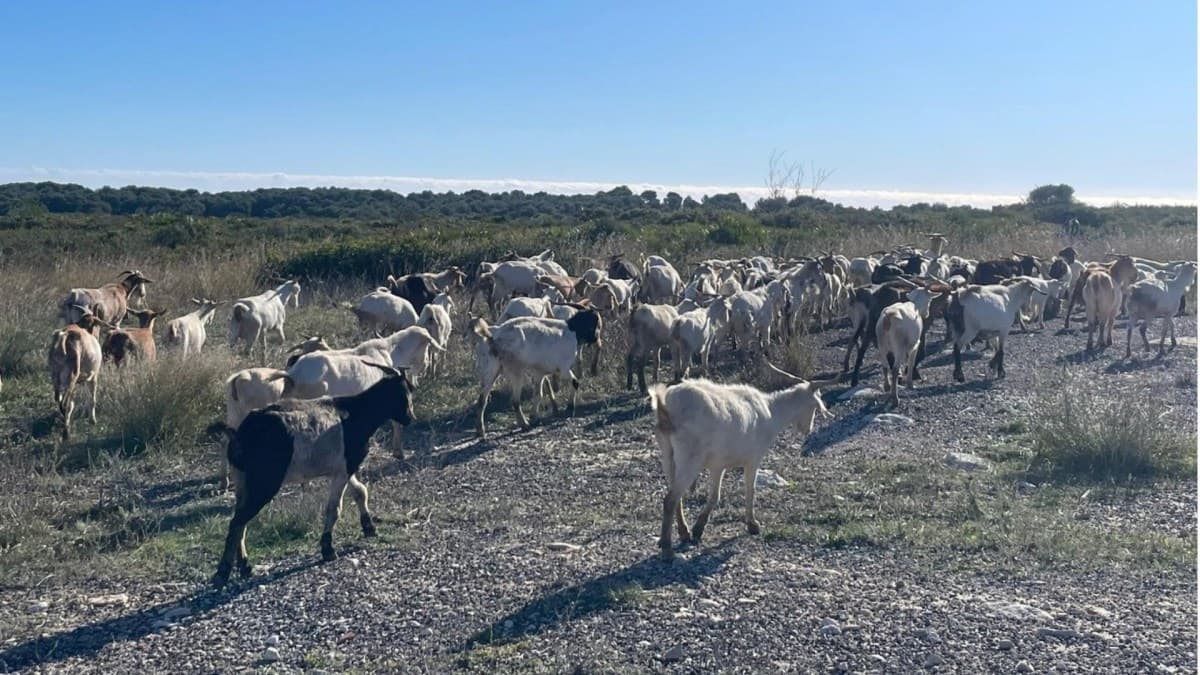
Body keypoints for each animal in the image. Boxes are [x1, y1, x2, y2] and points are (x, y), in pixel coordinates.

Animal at [211, 364, 413, 587]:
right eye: (403, 393)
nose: (410, 418)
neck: (354, 413)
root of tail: (241, 434)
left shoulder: (344, 467)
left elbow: (360, 492)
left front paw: (369, 528)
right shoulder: (343, 469)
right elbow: (334, 509)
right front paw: (328, 549)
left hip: (242, 479)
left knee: (240, 519)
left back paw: (244, 565)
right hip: (264, 482)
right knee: (238, 521)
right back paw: (222, 572)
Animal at [648, 363, 838, 561]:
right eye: (814, 407)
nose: (807, 430)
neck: (772, 412)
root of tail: (667, 408)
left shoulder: (718, 465)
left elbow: (715, 497)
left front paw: (698, 529)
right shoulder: (753, 459)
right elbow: (750, 490)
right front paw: (752, 525)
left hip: (668, 455)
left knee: (675, 497)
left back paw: (682, 533)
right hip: (689, 459)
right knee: (670, 500)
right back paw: (667, 549)